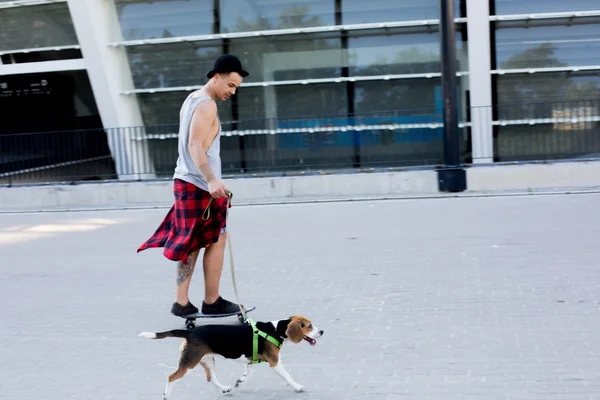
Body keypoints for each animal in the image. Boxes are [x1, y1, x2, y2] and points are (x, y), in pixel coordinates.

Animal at [140, 316, 324, 396]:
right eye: (309, 326)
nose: (322, 331)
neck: (275, 330)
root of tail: (190, 332)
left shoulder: (251, 360)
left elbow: (248, 374)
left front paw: (240, 381)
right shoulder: (275, 362)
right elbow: (287, 375)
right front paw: (297, 387)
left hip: (207, 360)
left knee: (211, 378)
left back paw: (224, 388)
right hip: (190, 361)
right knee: (172, 377)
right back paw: (166, 395)